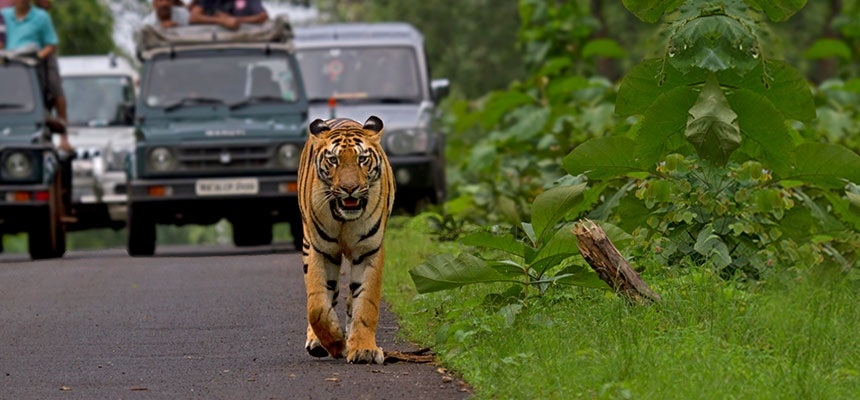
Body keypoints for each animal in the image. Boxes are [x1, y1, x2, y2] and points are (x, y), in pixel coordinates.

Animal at [298, 115, 394, 366]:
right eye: (333, 160)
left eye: (362, 159)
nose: (349, 189)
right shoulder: (321, 251)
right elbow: (317, 306)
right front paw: (335, 342)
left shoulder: (369, 251)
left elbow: (366, 303)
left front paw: (363, 349)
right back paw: (317, 342)